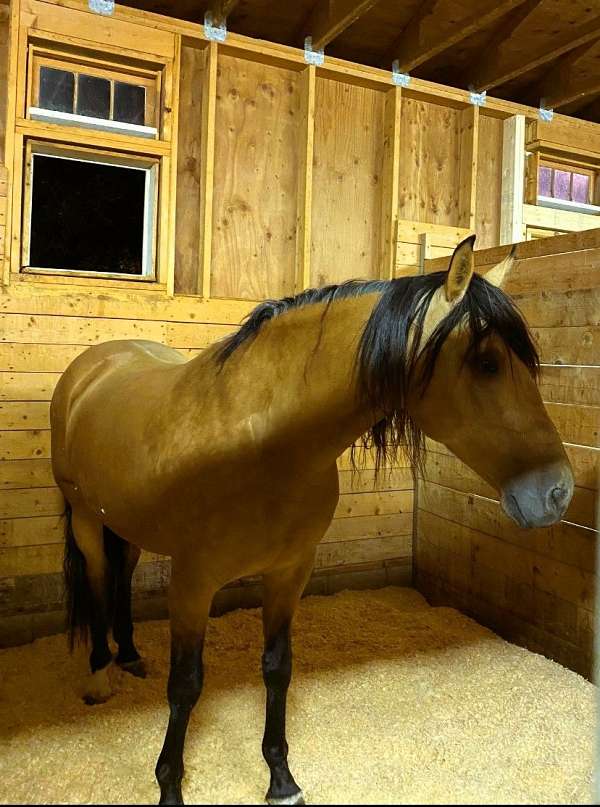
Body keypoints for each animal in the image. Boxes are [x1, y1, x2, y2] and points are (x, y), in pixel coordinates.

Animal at [50, 237, 572, 804]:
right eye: (486, 362)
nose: (557, 492)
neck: (263, 445)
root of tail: (96, 362)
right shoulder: (192, 583)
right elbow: (185, 684)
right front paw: (170, 787)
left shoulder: (289, 571)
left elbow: (278, 669)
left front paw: (281, 780)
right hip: (85, 518)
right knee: (99, 577)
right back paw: (99, 674)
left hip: (127, 524)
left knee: (121, 575)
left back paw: (127, 655)